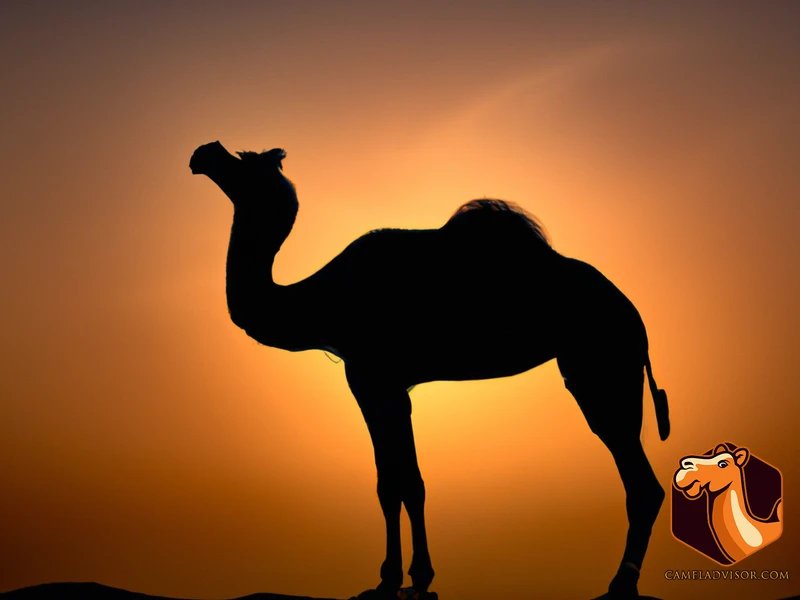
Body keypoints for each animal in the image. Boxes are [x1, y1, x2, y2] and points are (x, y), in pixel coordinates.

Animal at [189, 141, 671, 599]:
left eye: (244, 161)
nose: (203, 155)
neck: (319, 299)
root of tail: (634, 314)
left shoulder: (371, 377)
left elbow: (400, 482)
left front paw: (403, 578)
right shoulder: (382, 384)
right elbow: (398, 482)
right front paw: (399, 579)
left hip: (601, 365)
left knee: (640, 479)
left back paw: (620, 585)